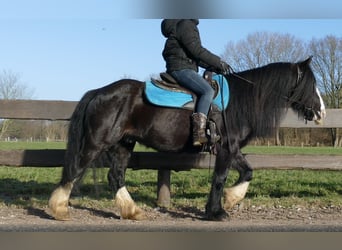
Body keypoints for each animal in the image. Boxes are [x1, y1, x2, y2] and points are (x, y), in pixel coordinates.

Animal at [48, 57, 326, 221]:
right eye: (310, 84)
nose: (322, 112)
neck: (237, 100)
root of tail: (99, 92)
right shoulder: (226, 149)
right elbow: (220, 179)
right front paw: (217, 211)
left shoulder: (231, 148)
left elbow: (247, 171)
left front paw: (230, 200)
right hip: (96, 143)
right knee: (74, 170)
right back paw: (59, 208)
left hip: (123, 144)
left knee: (115, 175)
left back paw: (132, 210)